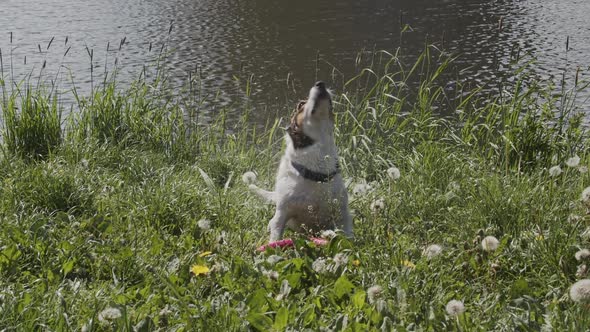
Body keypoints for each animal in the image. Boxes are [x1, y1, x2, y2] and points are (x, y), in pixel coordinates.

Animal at [249, 80, 352, 241]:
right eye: (301, 104)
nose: (320, 83)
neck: (316, 173)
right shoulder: (282, 214)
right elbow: (275, 236)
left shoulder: (343, 213)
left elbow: (348, 237)